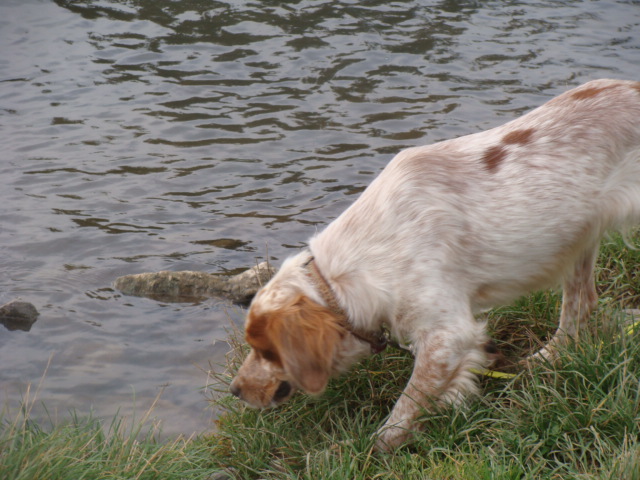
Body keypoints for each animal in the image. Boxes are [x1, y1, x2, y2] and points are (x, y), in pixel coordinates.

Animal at [229, 79, 640, 450]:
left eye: (267, 352)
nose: (234, 389)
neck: (361, 261)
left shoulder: (447, 334)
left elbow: (406, 405)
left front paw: (378, 446)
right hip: (580, 241)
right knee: (580, 305)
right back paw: (547, 358)